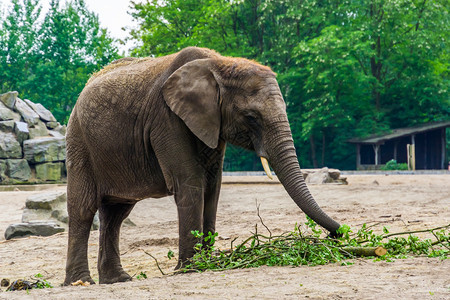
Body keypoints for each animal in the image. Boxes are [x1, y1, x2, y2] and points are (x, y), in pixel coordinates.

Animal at [62, 47, 338, 286]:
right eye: (251, 117)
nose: (337, 234)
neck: (219, 64)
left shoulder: (212, 124)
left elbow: (212, 187)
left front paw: (208, 264)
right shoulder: (167, 118)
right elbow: (190, 183)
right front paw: (191, 268)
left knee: (116, 214)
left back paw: (118, 280)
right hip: (79, 142)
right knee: (84, 209)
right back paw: (81, 282)